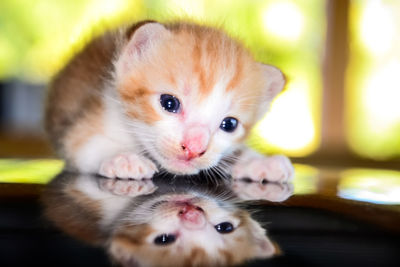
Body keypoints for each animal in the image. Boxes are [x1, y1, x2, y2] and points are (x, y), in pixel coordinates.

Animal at [45, 20, 294, 182]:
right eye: (169, 103)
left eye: (229, 124)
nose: (194, 148)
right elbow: (84, 145)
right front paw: (123, 158)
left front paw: (259, 162)